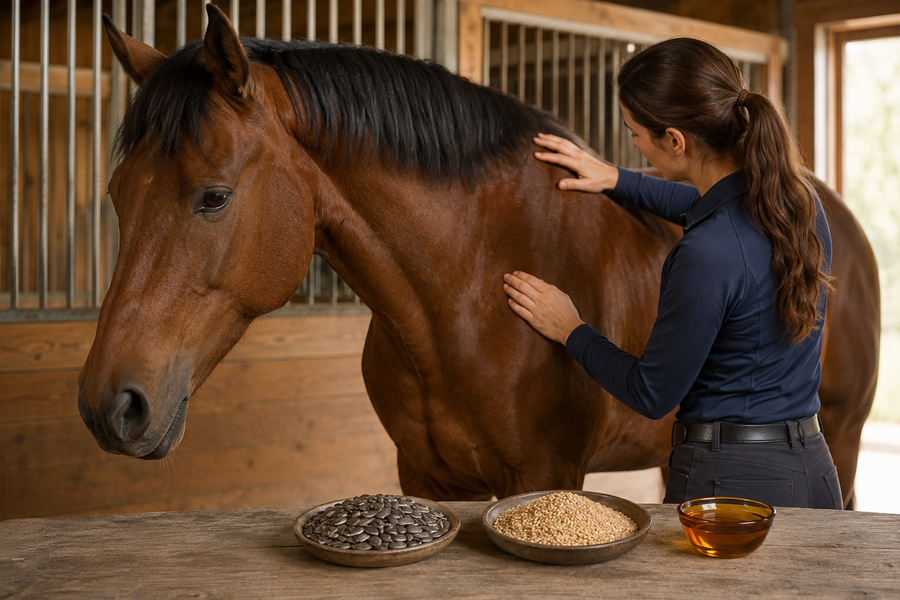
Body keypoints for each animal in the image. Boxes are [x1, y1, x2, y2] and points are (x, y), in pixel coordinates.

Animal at [78, 4, 879, 507]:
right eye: (115, 192)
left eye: (213, 197)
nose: (108, 406)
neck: (468, 287)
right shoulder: (426, 477)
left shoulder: (545, 473)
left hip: (840, 437)